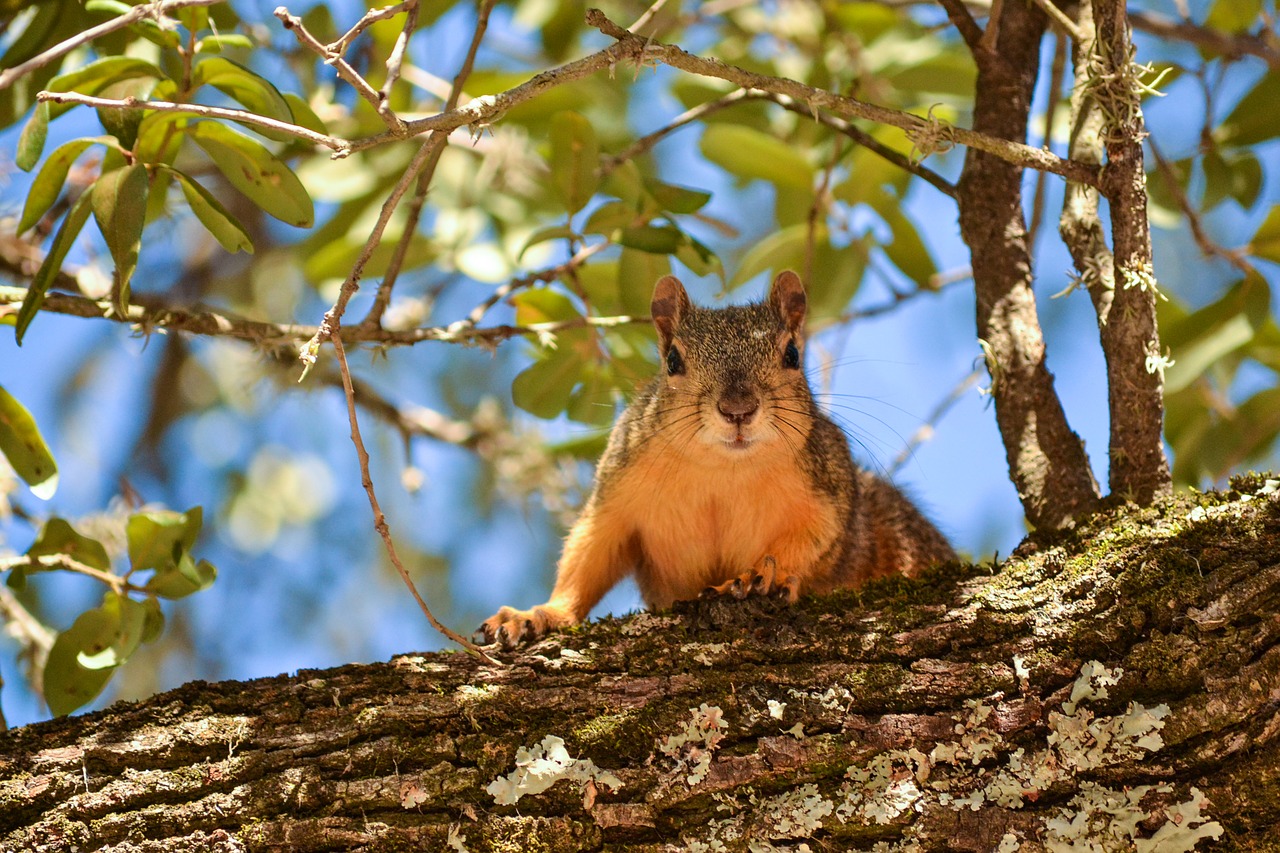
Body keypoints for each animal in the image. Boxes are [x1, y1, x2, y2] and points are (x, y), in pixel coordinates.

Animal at [476, 270, 957, 645]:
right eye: (673, 360)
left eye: (792, 354)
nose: (738, 410)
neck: (723, 471)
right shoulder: (617, 492)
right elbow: (589, 554)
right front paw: (537, 614)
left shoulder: (830, 488)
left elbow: (815, 540)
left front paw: (760, 575)